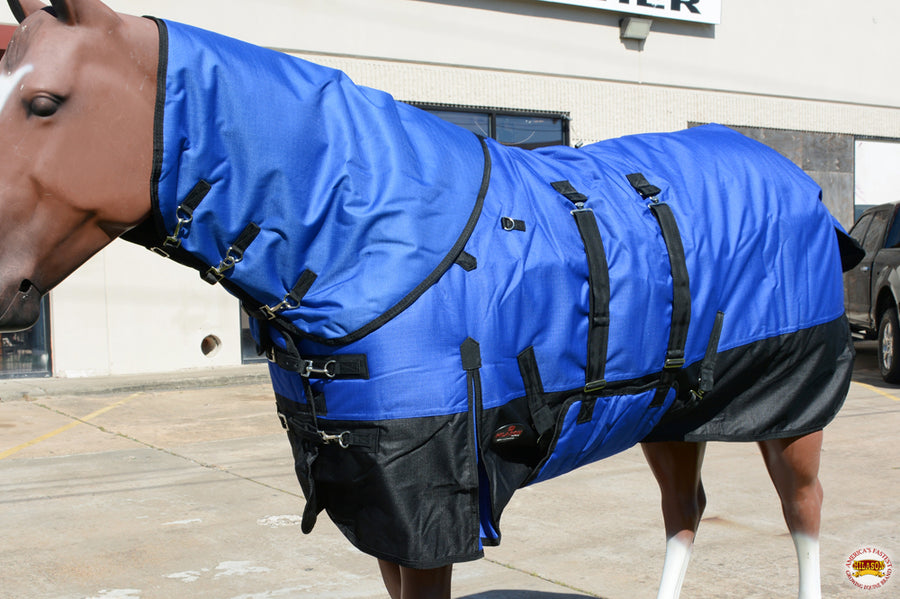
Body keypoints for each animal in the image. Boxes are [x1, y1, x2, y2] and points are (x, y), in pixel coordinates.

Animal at [0, 1, 863, 598]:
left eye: (45, 102)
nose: (5, 289)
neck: (367, 228)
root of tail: (799, 180)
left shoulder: (429, 508)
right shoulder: (377, 502)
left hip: (792, 415)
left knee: (805, 515)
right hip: (669, 413)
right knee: (685, 510)